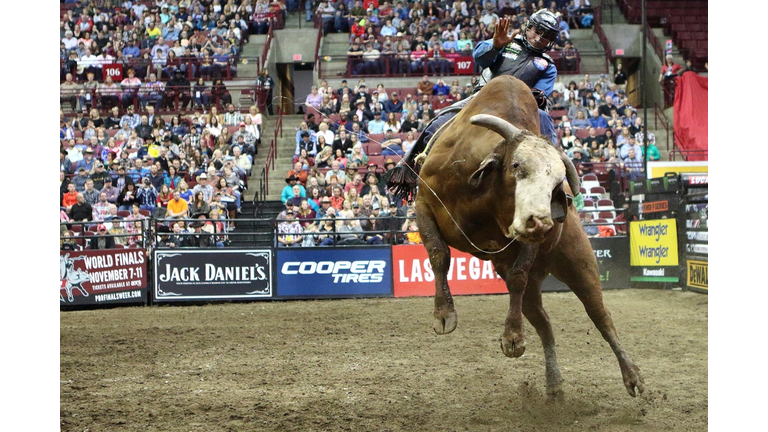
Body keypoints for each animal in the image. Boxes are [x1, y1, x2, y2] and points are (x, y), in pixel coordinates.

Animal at [414, 75, 640, 398]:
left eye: (557, 182)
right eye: (516, 165)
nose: (541, 222)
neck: (482, 196)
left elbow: (517, 277)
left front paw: (512, 338)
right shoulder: (424, 204)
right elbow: (439, 254)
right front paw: (444, 315)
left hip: (579, 262)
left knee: (601, 317)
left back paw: (632, 377)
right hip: (539, 283)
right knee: (544, 323)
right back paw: (554, 382)